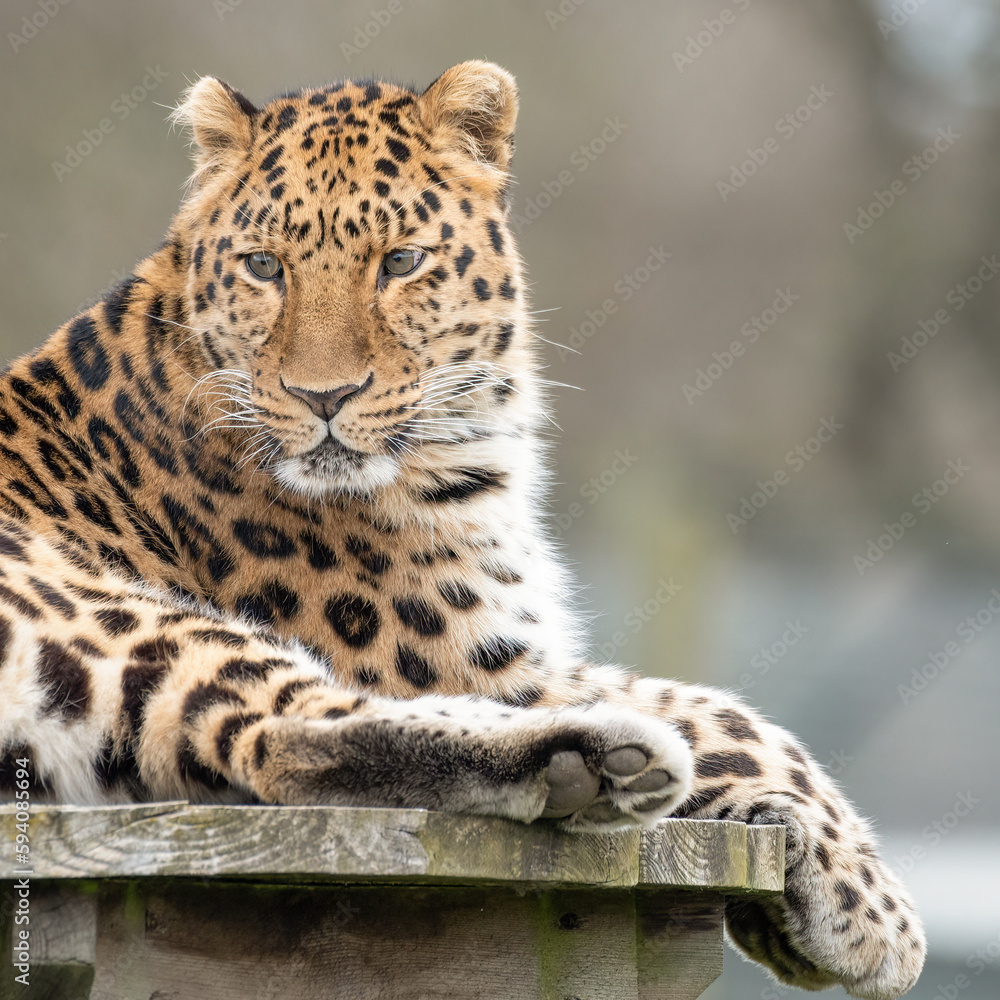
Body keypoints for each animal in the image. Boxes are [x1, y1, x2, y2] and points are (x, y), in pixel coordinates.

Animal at [0, 61, 925, 998]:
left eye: (400, 262)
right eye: (264, 266)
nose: (322, 397)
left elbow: (710, 703)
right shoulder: (469, 660)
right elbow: (727, 721)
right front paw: (874, 913)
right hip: (90, 598)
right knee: (274, 736)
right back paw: (602, 759)